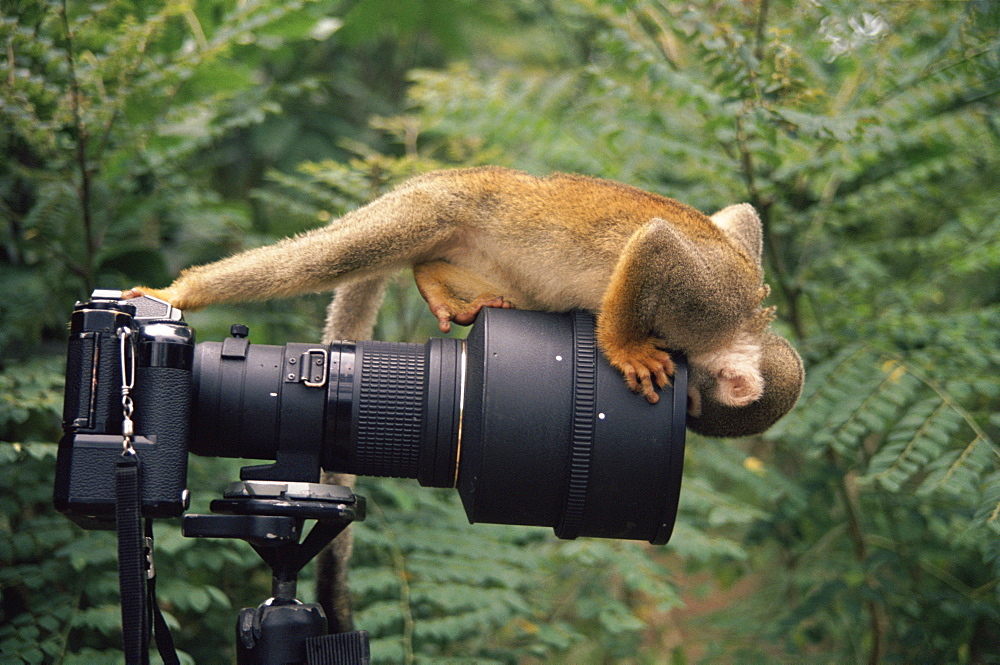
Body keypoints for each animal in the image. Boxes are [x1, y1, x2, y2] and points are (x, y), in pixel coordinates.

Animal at [125, 164, 804, 438]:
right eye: (692, 402)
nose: (686, 409)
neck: (741, 324)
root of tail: (456, 174)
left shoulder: (742, 264)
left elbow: (740, 216)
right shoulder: (708, 298)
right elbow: (657, 242)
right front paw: (625, 347)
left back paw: (433, 278)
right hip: (433, 208)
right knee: (326, 258)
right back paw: (182, 291)